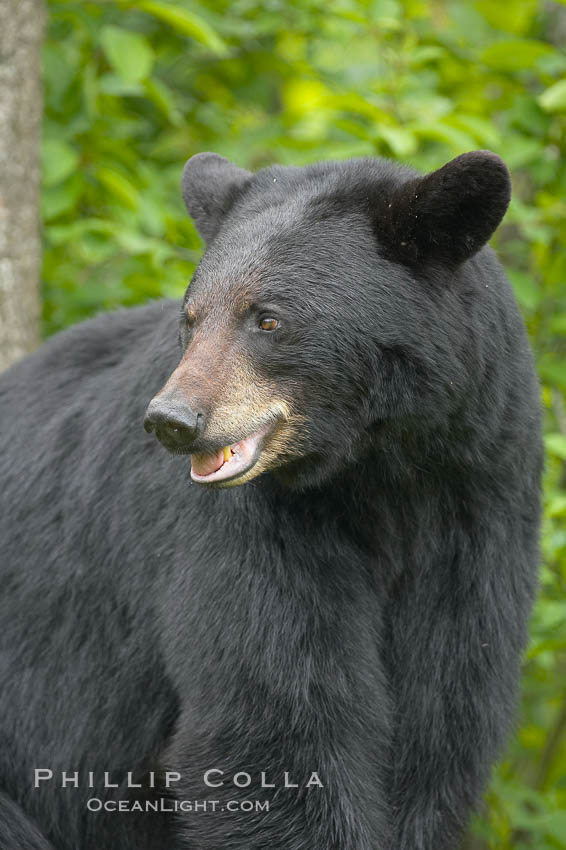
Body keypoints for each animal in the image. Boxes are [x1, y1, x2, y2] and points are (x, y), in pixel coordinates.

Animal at [0, 150, 542, 850]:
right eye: (191, 319)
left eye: (269, 318)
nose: (172, 421)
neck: (378, 471)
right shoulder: (255, 527)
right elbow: (278, 722)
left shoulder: (476, 503)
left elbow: (440, 720)